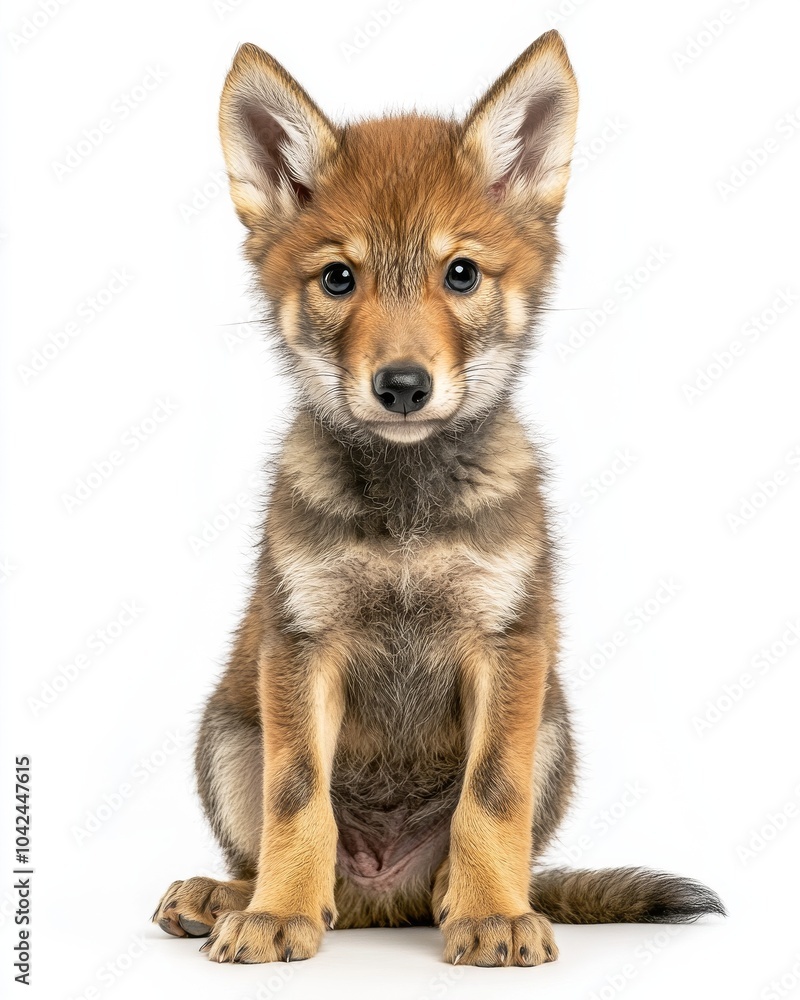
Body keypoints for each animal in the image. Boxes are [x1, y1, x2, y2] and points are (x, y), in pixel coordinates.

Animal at [153, 29, 723, 966]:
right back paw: (233, 895)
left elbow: (490, 801)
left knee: (472, 857)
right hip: (228, 734)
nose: (403, 387)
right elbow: (296, 800)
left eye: (460, 273)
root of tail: (386, 895)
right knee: (295, 860)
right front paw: (276, 915)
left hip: (553, 731)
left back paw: (474, 896)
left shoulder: (509, 643)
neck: (407, 521)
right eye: (338, 279)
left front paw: (493, 914)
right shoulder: (300, 643)